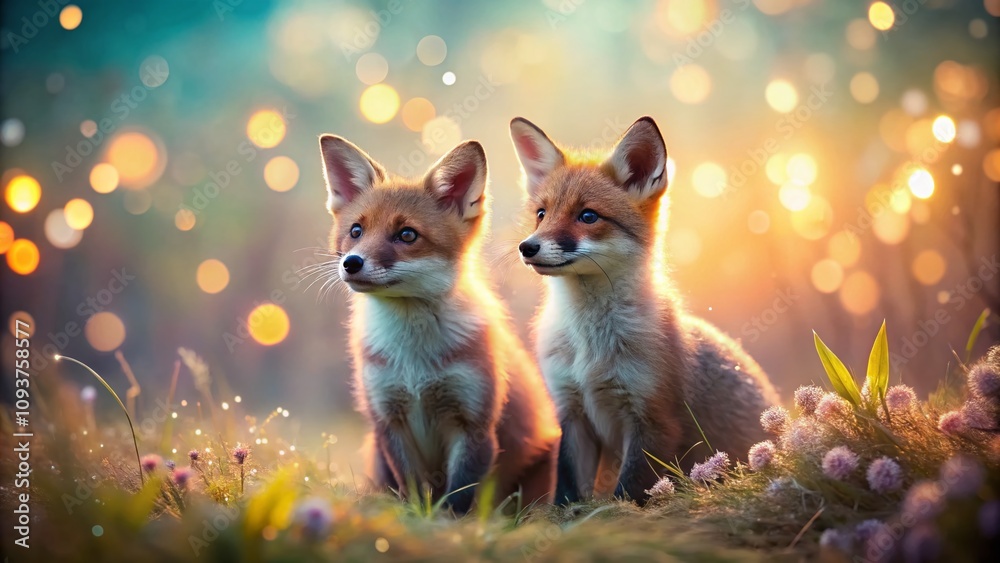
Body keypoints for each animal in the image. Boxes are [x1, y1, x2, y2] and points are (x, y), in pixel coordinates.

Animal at [318, 134, 560, 514]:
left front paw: (451, 525)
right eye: (356, 231)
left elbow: (459, 497)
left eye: (407, 235)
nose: (352, 263)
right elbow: (415, 489)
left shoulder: (473, 424)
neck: (415, 361)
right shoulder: (389, 420)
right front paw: (420, 518)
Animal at [508, 116, 780, 505]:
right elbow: (567, 490)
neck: (592, 350)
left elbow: (630, 491)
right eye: (541, 214)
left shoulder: (653, 418)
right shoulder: (572, 412)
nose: (527, 247)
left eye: (587, 216)